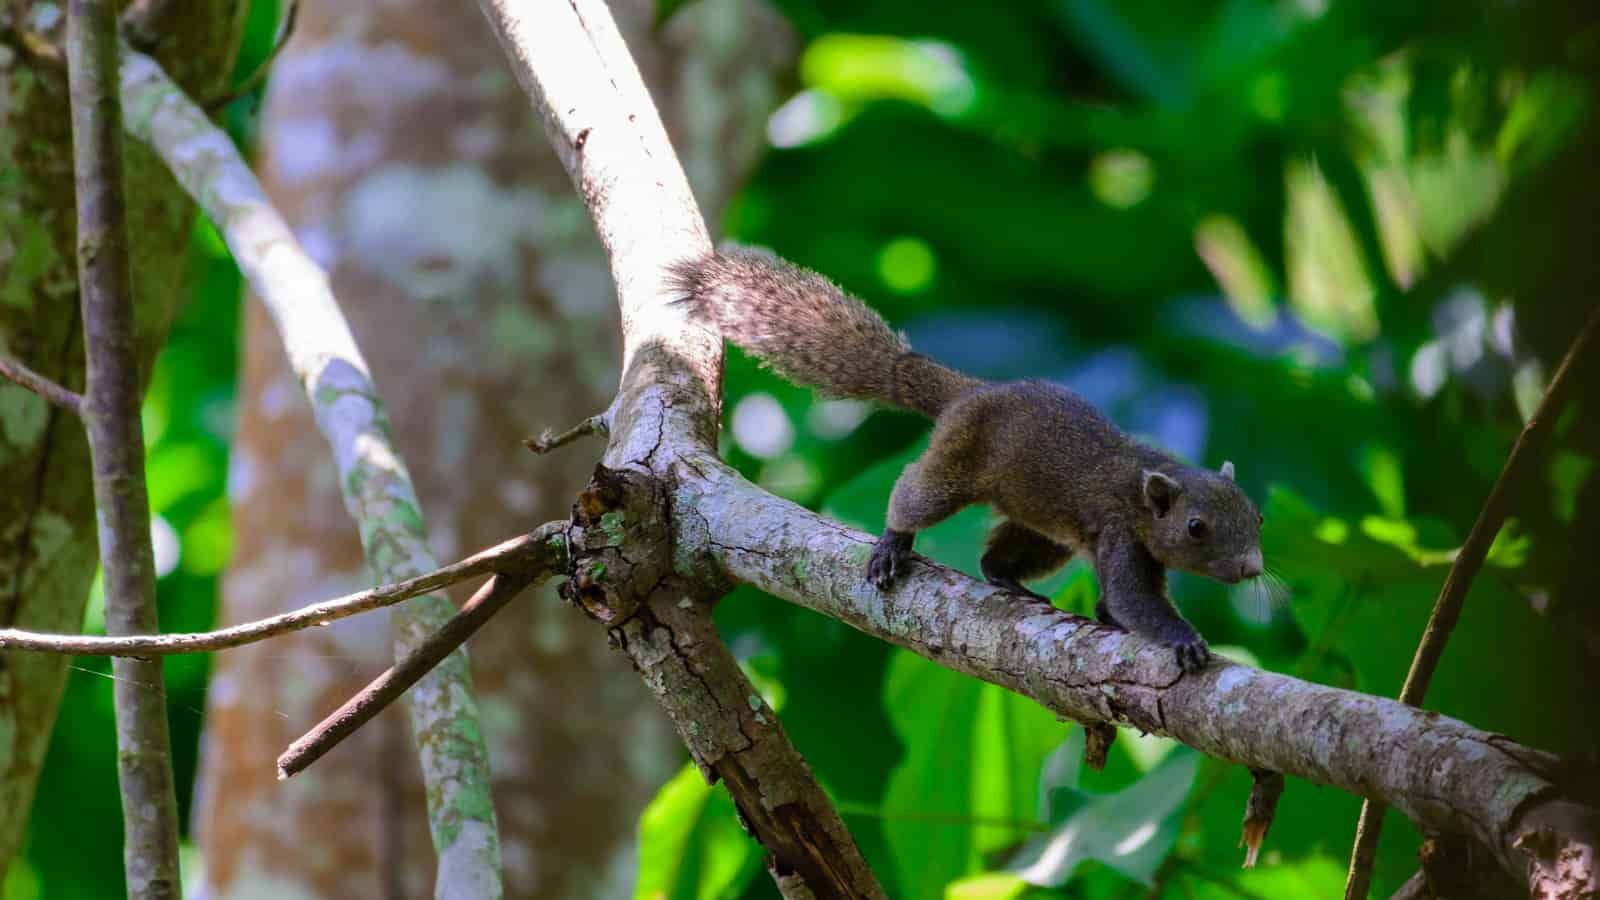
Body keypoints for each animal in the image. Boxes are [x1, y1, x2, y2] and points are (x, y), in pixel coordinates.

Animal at [669, 248, 1265, 672]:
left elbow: (1118, 606)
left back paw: (1017, 588)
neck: (1144, 494)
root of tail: (966, 393)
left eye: (1258, 517)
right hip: (954, 464)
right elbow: (1133, 600)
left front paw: (1110, 619)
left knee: (996, 560)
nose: (1253, 567)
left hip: (1043, 531)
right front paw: (1185, 641)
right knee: (913, 491)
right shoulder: (1120, 531)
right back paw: (892, 546)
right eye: (1196, 527)